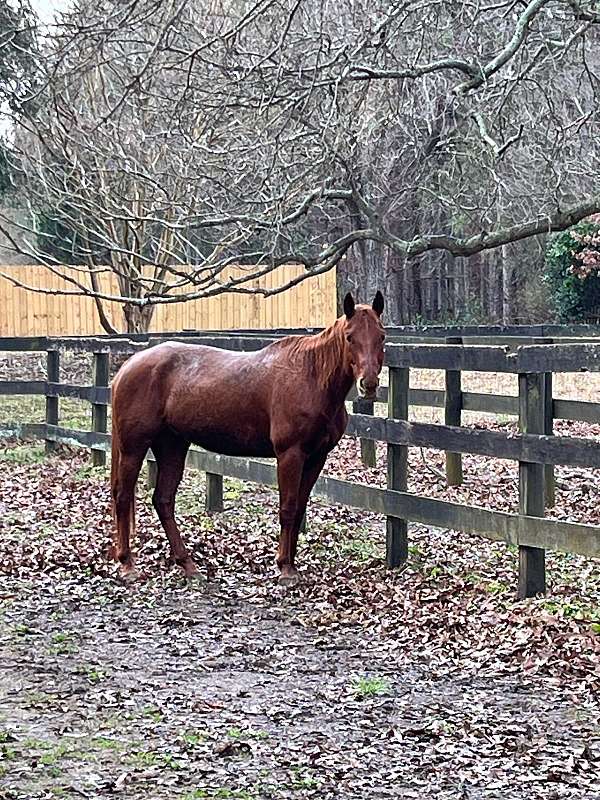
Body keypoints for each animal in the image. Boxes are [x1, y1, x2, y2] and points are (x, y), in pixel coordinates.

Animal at [110, 290, 386, 584]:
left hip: (172, 445)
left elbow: (300, 508)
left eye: (381, 336)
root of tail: (128, 366)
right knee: (123, 496)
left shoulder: (316, 457)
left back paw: (187, 564)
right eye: (349, 336)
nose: (369, 384)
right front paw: (285, 568)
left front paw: (291, 563)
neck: (310, 378)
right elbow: (288, 508)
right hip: (133, 448)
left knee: (163, 500)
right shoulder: (290, 455)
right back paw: (127, 564)